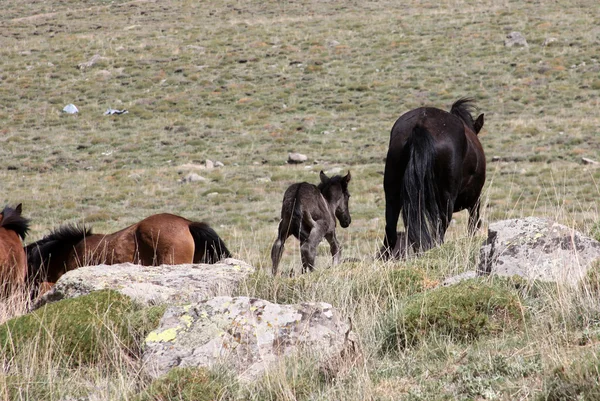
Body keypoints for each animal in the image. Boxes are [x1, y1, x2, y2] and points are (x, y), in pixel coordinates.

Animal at [382, 98, 486, 258]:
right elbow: (473, 225)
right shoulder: (475, 200)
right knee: (439, 231)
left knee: (391, 230)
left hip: (392, 192)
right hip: (445, 200)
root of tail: (421, 124)